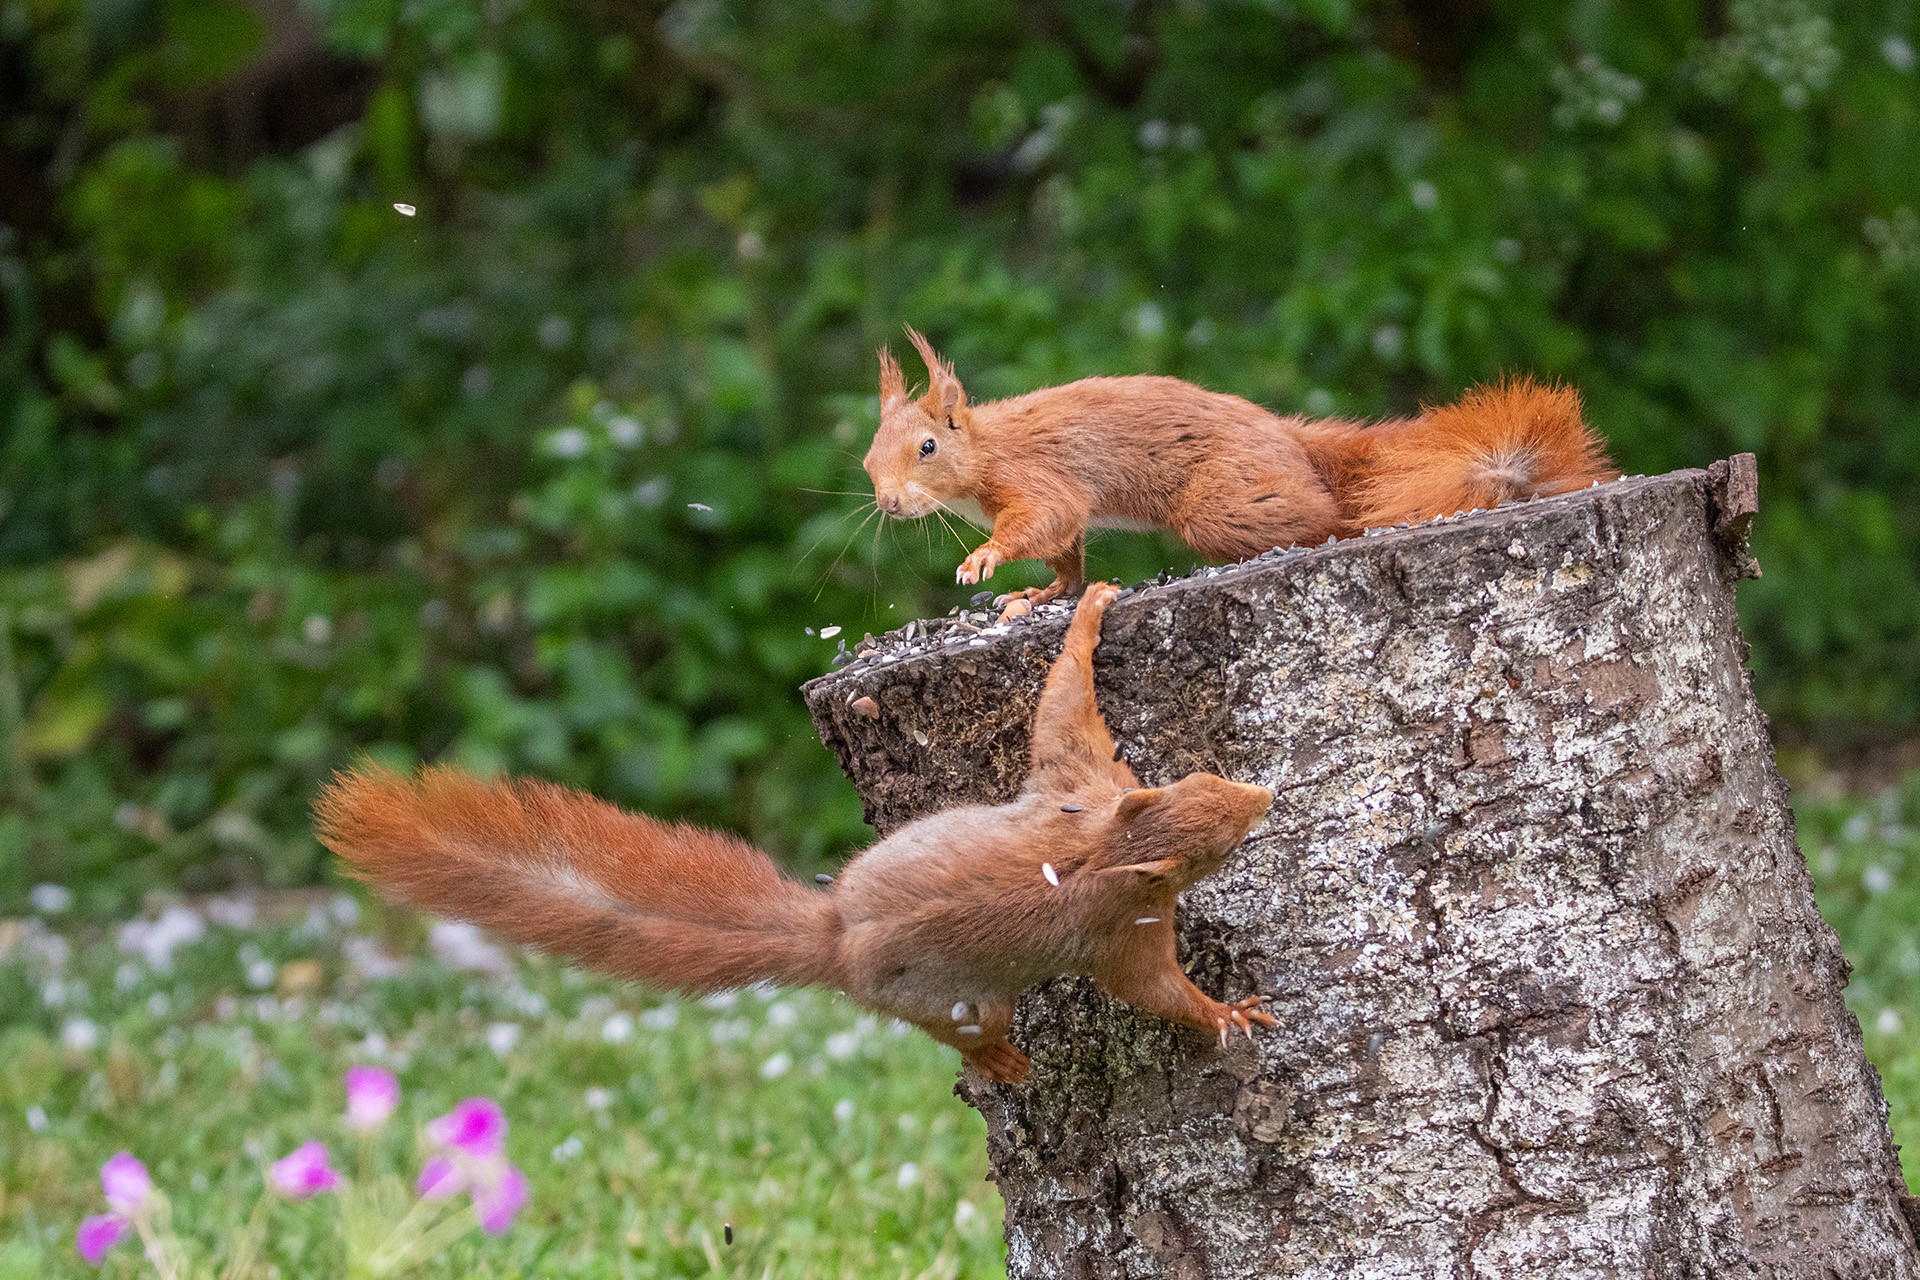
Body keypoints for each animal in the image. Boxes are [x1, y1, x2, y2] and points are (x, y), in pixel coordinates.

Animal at [314, 587, 1274, 1090]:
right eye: (1212, 843)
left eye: (1202, 780)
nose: (1263, 794)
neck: (1102, 846)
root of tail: (836, 944)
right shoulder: (1120, 929)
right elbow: (1157, 991)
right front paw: (1229, 1013)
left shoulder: (1079, 786)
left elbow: (1063, 708)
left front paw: (1089, 610)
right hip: (950, 997)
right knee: (959, 1034)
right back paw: (1002, 1060)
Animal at [864, 326, 1612, 606]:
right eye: (868, 460)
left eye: (927, 448)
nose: (890, 504)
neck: (983, 448)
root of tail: (1285, 437)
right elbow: (1066, 550)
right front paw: (1045, 593)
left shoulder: (1035, 477)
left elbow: (1047, 518)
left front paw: (983, 560)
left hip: (1224, 498)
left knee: (1323, 516)